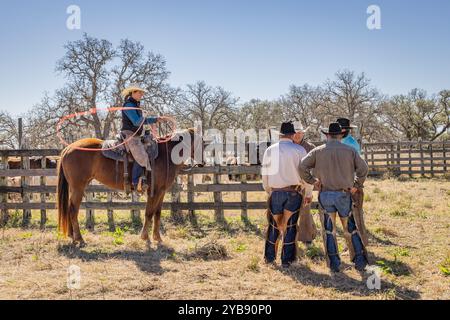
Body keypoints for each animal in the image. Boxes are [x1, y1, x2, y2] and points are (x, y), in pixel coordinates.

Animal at [57, 129, 201, 246]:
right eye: (202, 142)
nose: (202, 163)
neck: (166, 154)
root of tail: (68, 148)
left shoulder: (161, 191)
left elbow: (157, 213)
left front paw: (157, 238)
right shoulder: (153, 191)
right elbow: (149, 213)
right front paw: (145, 237)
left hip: (75, 188)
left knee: (69, 208)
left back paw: (72, 236)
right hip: (78, 187)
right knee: (73, 210)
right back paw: (80, 239)